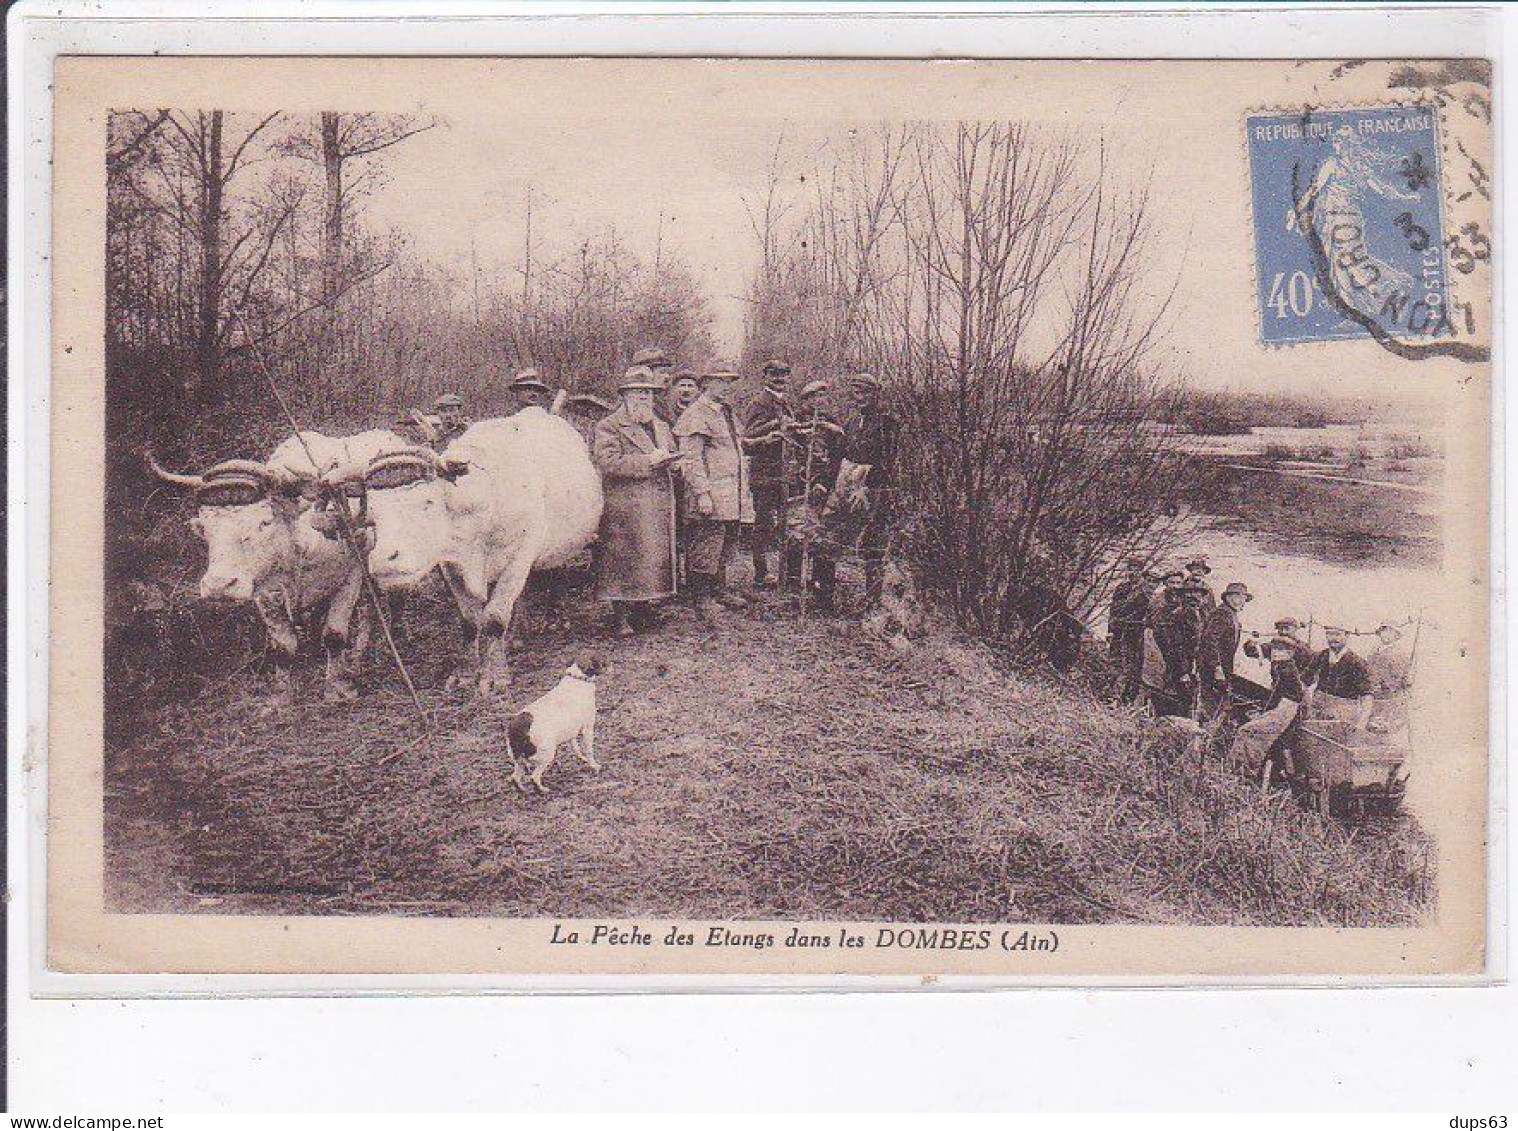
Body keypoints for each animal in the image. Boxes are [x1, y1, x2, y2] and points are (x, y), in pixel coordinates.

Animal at [510, 649, 604, 789]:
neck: (577, 678)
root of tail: (517, 728)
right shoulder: (588, 729)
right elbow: (589, 751)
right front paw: (594, 766)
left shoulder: (572, 731)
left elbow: (576, 748)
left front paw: (581, 758)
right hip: (547, 754)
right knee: (534, 777)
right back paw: (543, 790)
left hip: (518, 760)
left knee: (516, 778)